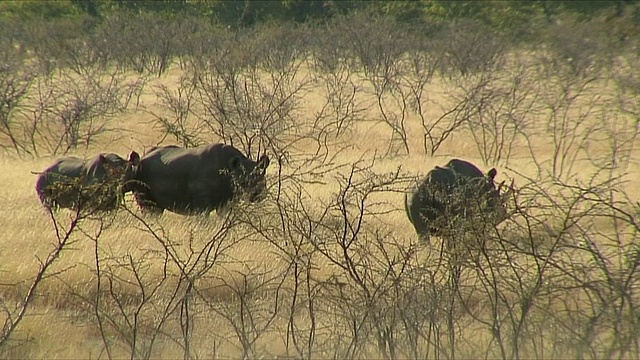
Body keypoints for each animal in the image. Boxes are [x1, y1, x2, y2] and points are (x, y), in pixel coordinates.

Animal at [130, 143, 270, 217]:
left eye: (264, 180)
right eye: (244, 181)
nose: (259, 194)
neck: (230, 168)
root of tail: (143, 157)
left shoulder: (227, 200)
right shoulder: (202, 202)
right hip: (139, 174)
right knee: (150, 209)